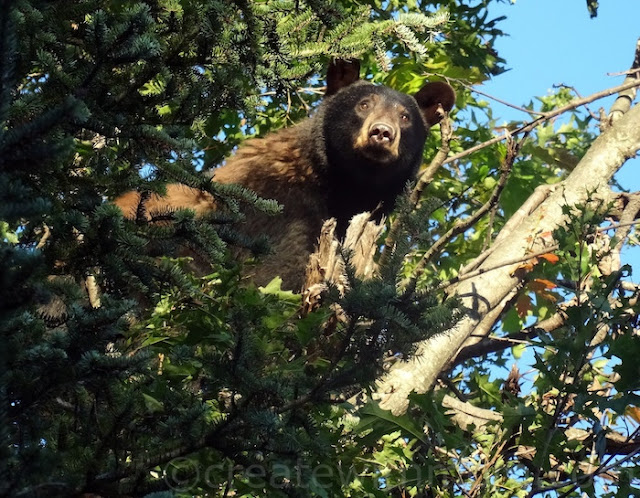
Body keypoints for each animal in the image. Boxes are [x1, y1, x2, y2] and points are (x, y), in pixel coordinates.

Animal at [116, 60, 456, 290]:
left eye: (405, 116)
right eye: (363, 104)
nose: (382, 132)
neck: (342, 184)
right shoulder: (276, 205)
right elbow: (276, 271)